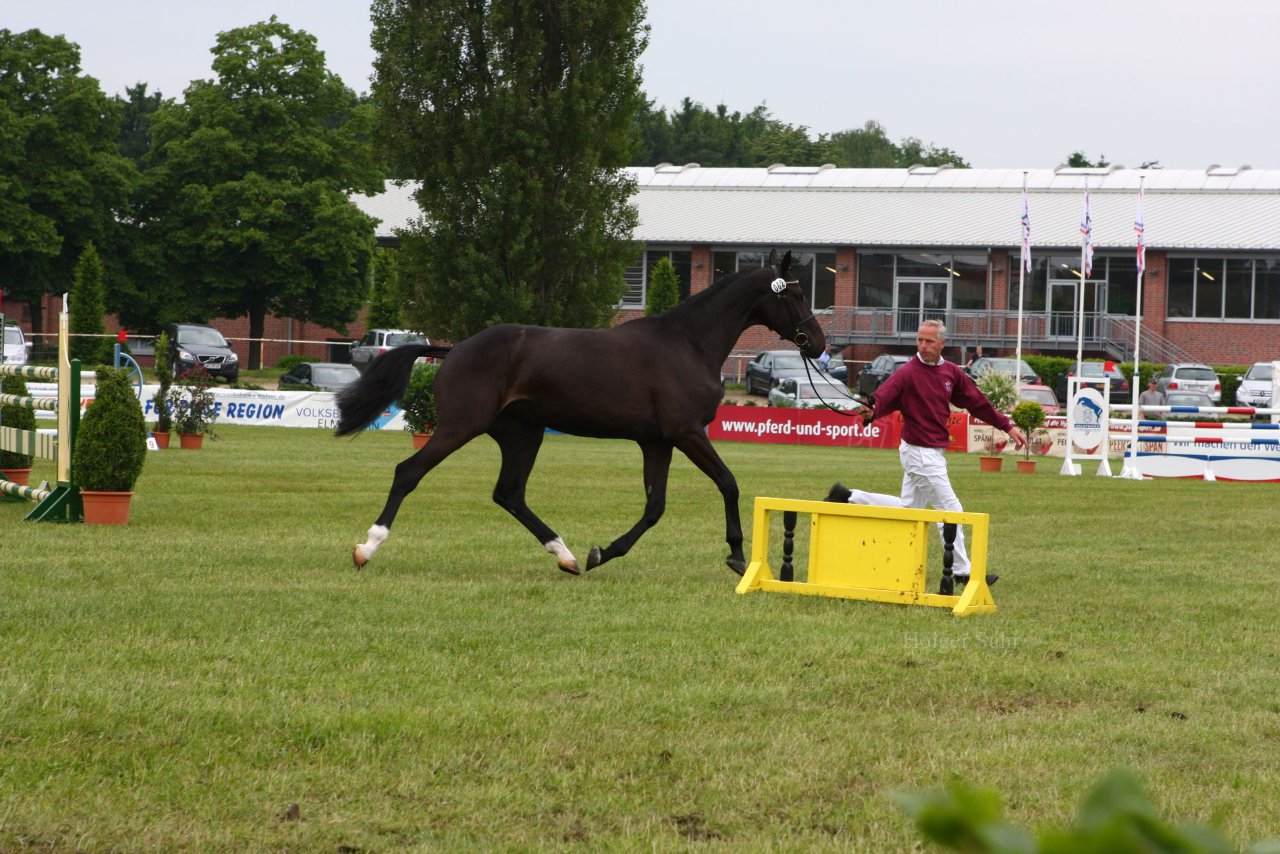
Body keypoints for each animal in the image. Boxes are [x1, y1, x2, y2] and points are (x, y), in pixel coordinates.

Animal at [335, 250, 824, 578]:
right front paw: (738, 557)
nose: (818, 343)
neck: (688, 343)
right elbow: (727, 482)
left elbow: (655, 507)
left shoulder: (658, 441)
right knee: (409, 472)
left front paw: (601, 553)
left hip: (522, 435)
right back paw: (367, 548)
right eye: (798, 293)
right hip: (461, 426)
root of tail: (453, 349)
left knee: (509, 494)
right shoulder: (687, 433)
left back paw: (566, 556)